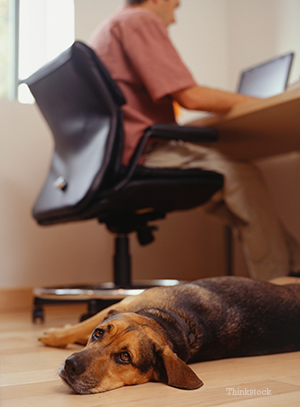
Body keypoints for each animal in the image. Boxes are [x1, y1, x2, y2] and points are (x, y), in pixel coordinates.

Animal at [39, 276, 300, 394]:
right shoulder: (123, 304)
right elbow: (80, 327)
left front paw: (52, 336)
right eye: (98, 334)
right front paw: (57, 334)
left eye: (125, 357)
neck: (167, 322)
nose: (71, 365)